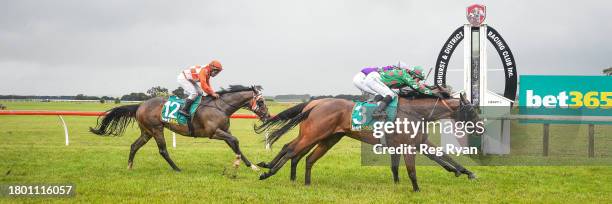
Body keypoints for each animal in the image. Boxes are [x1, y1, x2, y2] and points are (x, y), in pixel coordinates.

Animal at [90, 85, 270, 171]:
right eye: (261, 102)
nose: (268, 116)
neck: (220, 106)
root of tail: (140, 105)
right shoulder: (214, 133)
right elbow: (236, 141)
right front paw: (238, 163)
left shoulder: (224, 131)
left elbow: (235, 145)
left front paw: (252, 166)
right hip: (156, 129)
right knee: (163, 150)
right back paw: (177, 168)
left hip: (147, 132)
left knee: (134, 146)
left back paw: (129, 166)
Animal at [253, 93, 478, 192]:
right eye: (472, 111)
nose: (479, 126)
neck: (415, 113)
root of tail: (315, 104)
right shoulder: (408, 146)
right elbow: (411, 170)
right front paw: (416, 190)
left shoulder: (419, 142)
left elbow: (444, 156)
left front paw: (465, 172)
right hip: (314, 134)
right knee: (291, 150)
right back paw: (268, 171)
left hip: (327, 138)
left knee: (304, 156)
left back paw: (302, 182)